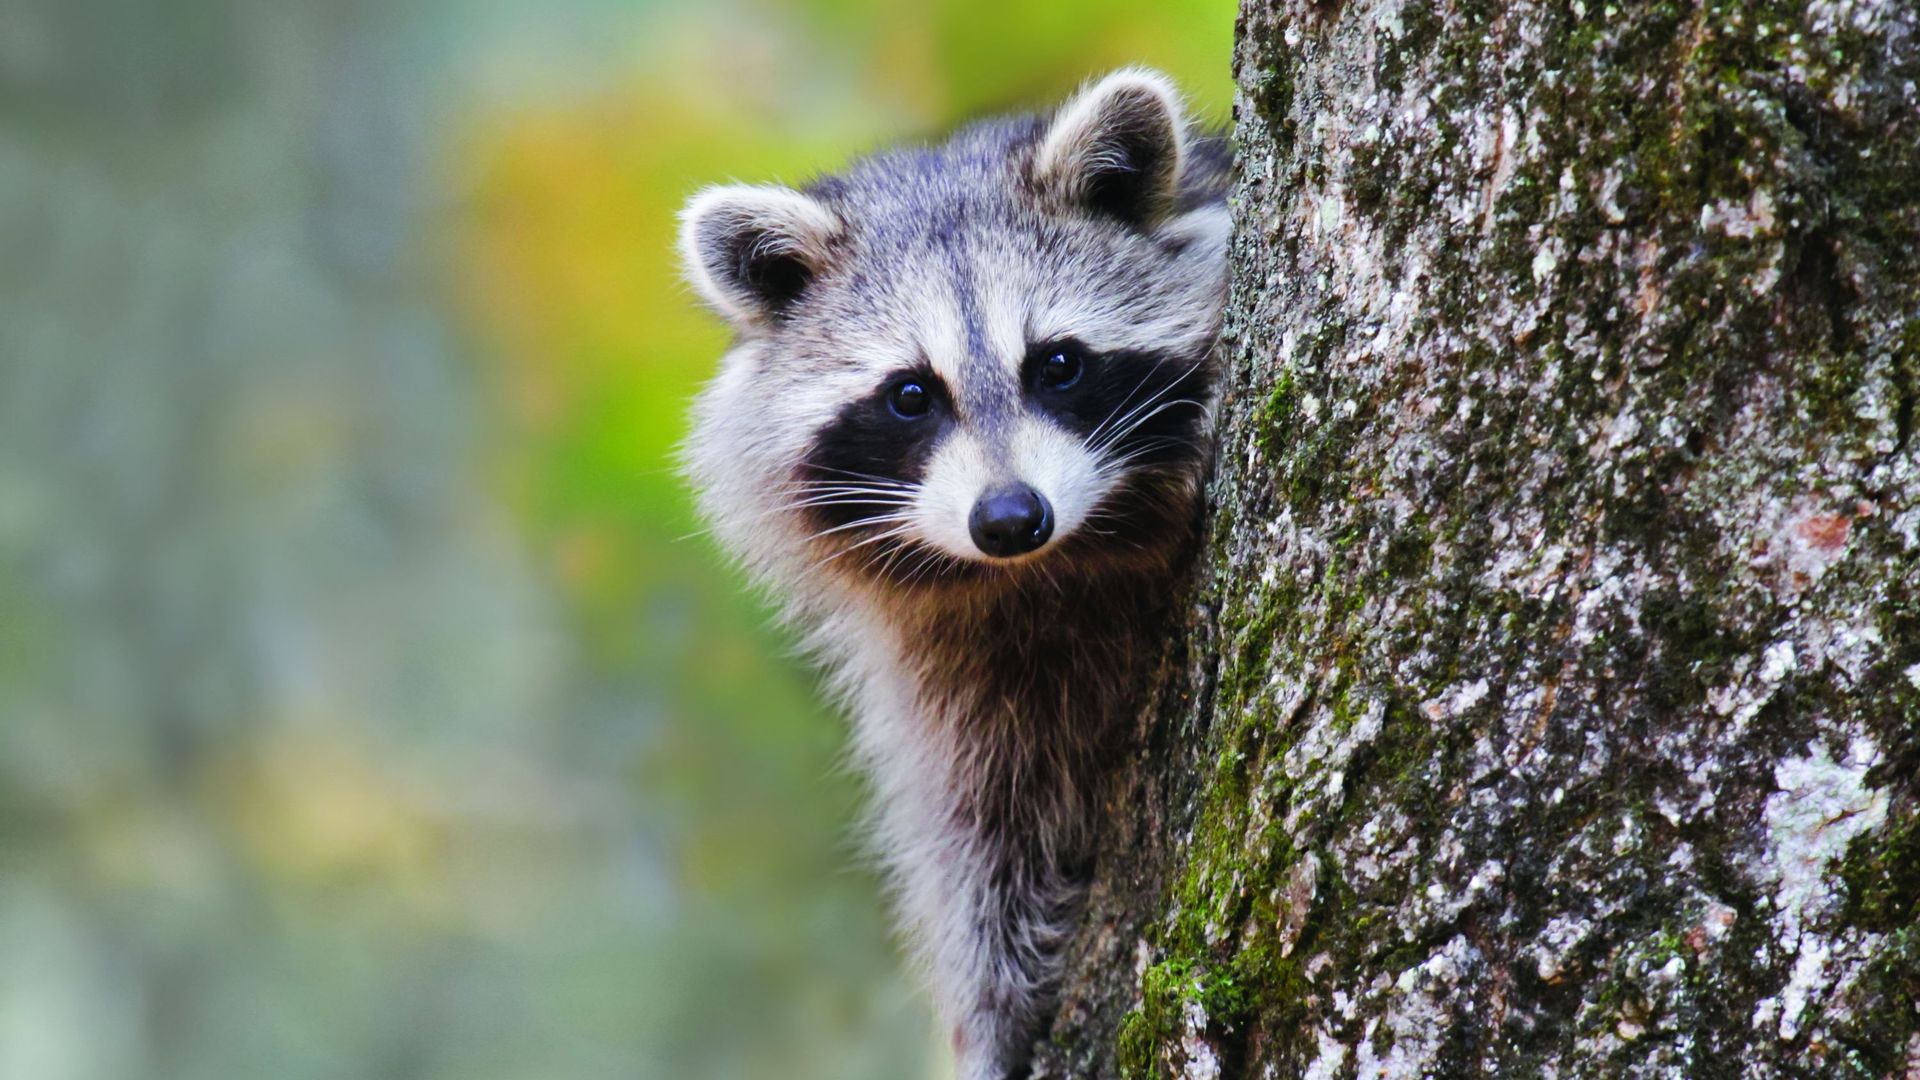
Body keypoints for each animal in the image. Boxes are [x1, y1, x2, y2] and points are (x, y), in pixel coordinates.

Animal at [679, 71, 1228, 1068]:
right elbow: (977, 831)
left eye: (1058, 364)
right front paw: (995, 1007)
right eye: (910, 395)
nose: (1010, 518)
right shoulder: (950, 666)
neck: (1047, 572)